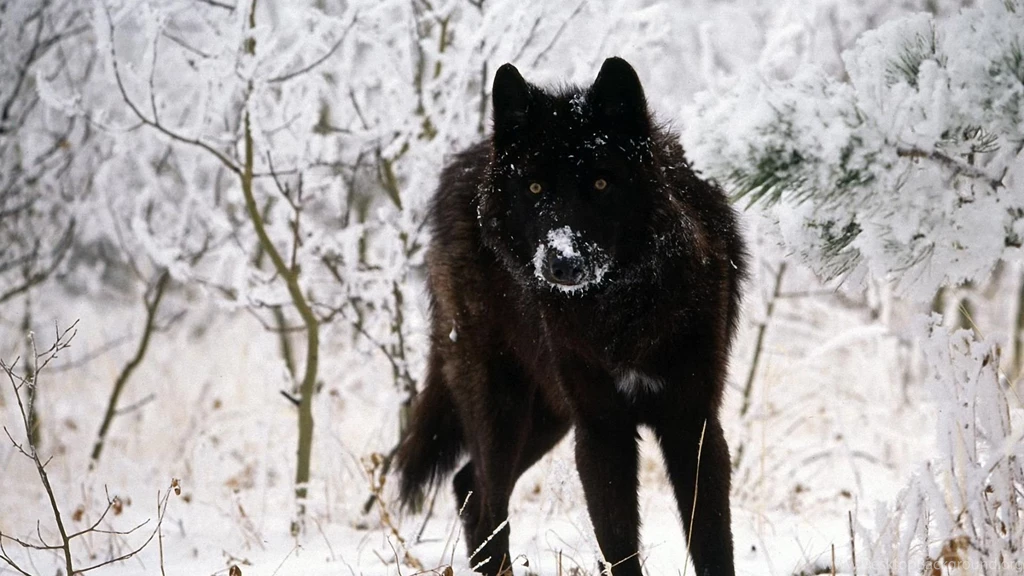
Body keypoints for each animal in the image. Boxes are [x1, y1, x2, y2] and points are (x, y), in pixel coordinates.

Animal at [395, 57, 747, 576]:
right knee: (486, 499)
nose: (562, 263)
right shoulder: (600, 431)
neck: (620, 313)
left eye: (600, 183)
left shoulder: (693, 424)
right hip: (503, 409)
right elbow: (619, 547)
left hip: (548, 416)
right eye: (535, 186)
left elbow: (712, 544)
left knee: (467, 486)